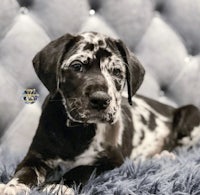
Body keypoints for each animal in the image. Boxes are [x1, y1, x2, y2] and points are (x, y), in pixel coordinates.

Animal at [0, 31, 199, 194]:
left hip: (190, 114)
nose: (101, 99)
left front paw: (60, 185)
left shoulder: (111, 161)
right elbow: (25, 170)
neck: (79, 132)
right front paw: (14, 186)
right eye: (77, 66)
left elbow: (82, 168)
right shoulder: (37, 155)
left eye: (116, 71)